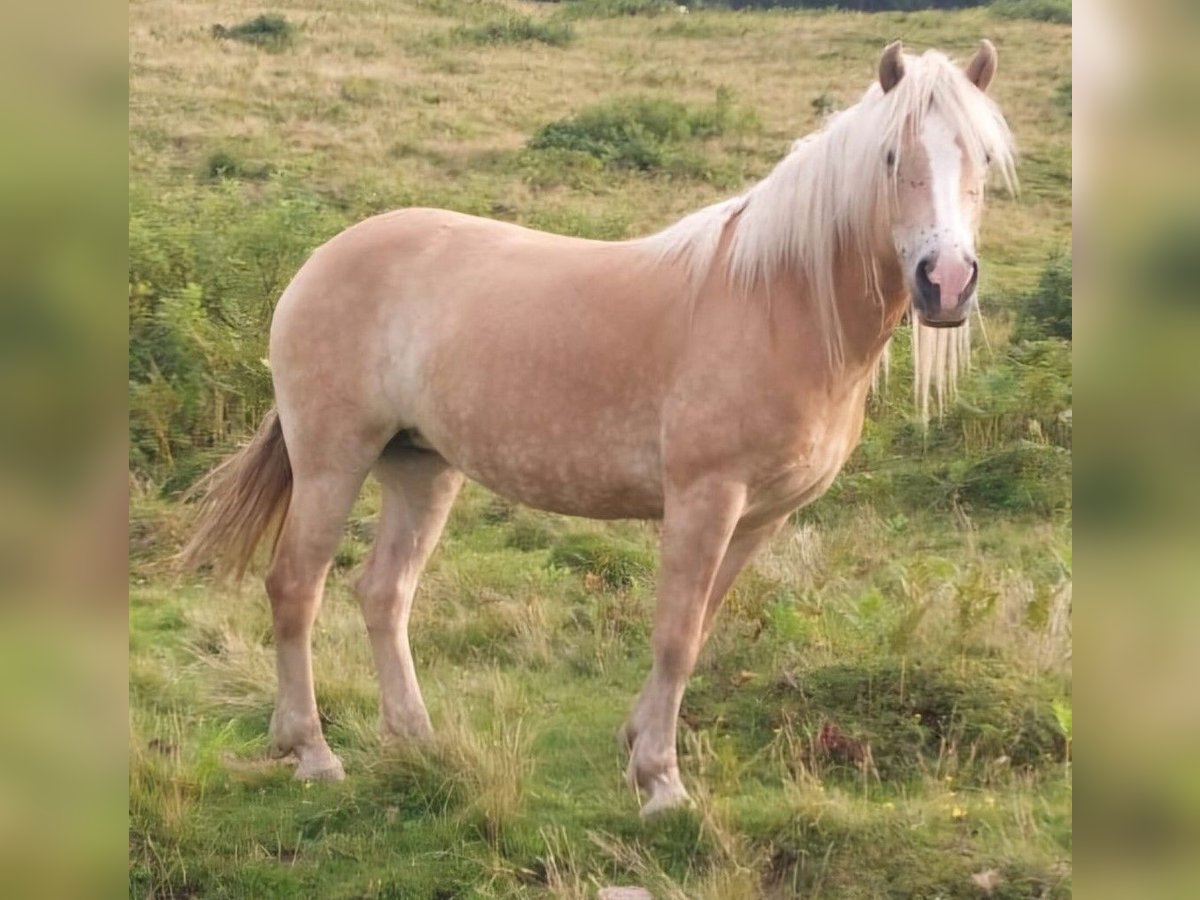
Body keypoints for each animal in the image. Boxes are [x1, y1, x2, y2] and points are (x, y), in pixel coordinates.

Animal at [184, 40, 1012, 816]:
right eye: (891, 156)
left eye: (982, 157)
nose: (946, 282)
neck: (780, 304)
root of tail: (321, 258)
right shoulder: (705, 500)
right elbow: (675, 635)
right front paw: (662, 782)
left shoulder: (762, 517)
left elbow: (699, 629)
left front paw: (637, 744)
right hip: (332, 460)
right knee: (296, 586)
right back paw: (312, 752)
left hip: (421, 466)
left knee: (385, 593)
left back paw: (416, 740)